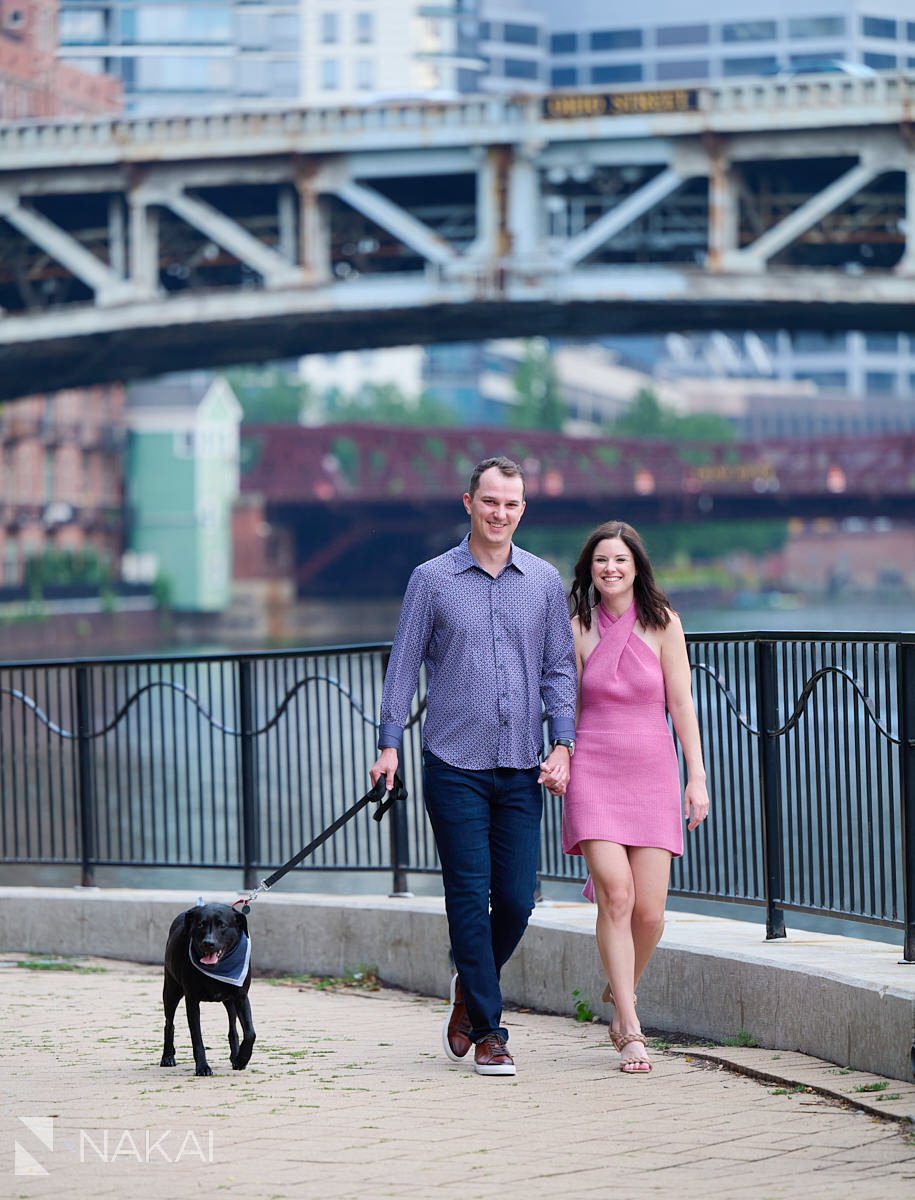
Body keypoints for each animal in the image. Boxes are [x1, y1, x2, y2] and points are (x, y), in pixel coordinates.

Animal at [158, 902, 254, 1080]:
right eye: (201, 924)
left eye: (222, 925)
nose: (208, 943)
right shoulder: (192, 1000)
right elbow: (197, 1038)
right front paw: (202, 1067)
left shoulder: (241, 997)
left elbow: (250, 1032)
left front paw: (242, 1059)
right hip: (171, 991)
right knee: (169, 1023)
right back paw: (167, 1056)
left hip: (230, 1002)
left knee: (233, 1028)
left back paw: (235, 1056)